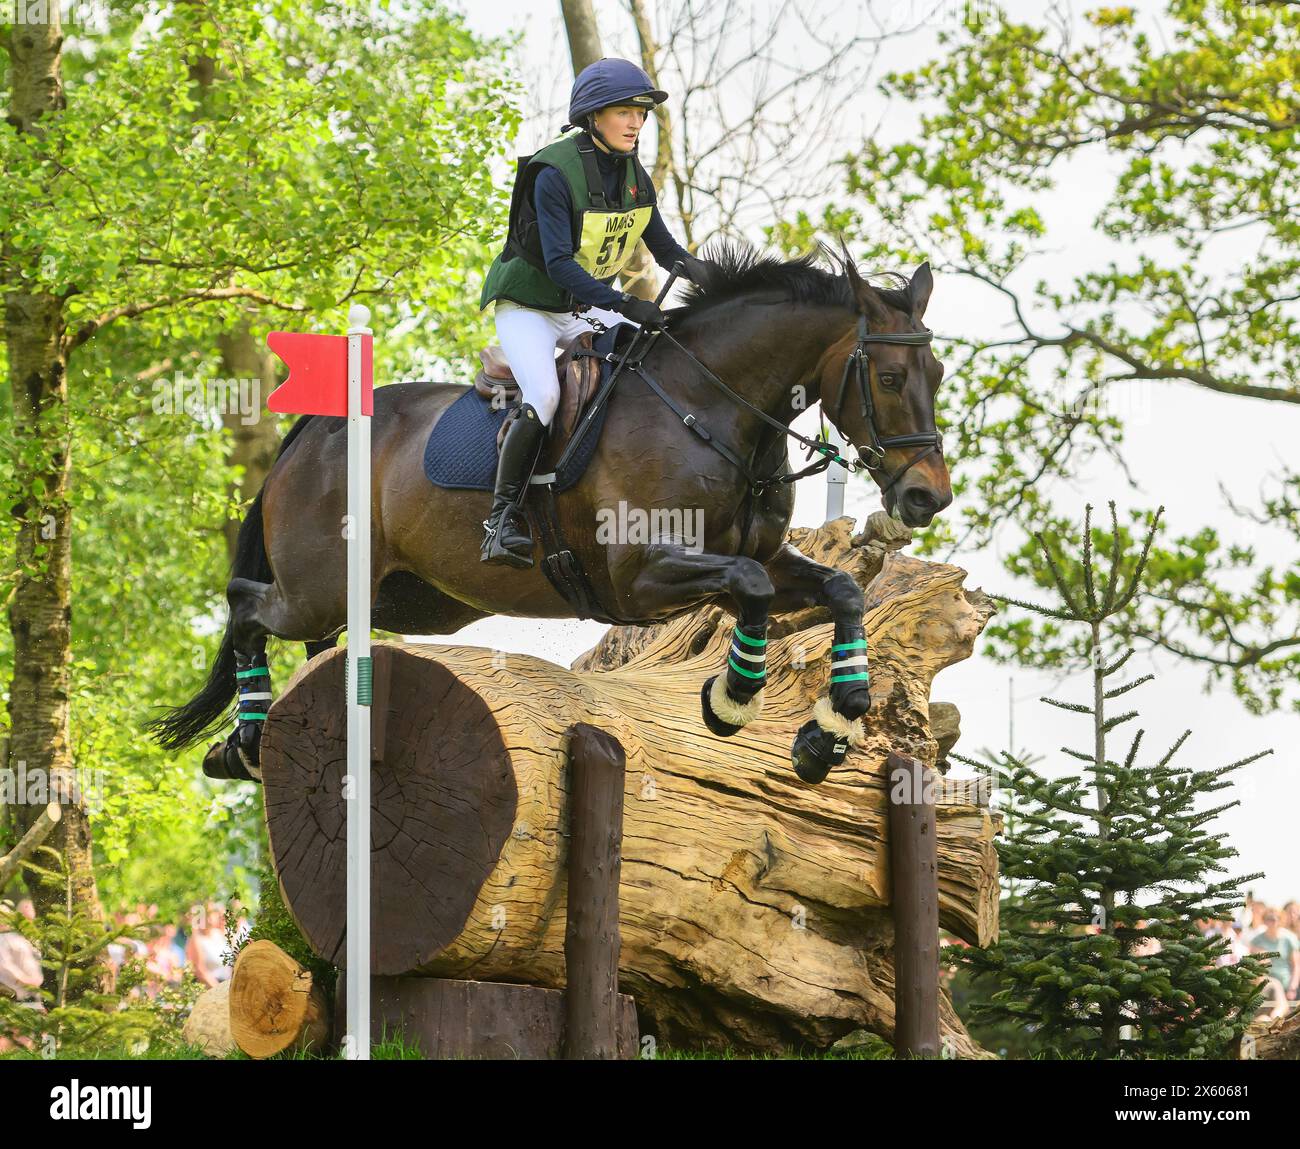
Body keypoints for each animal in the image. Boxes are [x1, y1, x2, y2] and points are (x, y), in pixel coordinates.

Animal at [144, 241, 956, 779]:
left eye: (938, 371)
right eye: (888, 376)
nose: (927, 495)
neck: (708, 407)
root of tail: (312, 431)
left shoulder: (754, 558)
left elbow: (842, 590)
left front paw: (828, 730)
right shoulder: (642, 577)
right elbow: (752, 592)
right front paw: (731, 699)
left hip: (404, 600)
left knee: (309, 636)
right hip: (317, 588)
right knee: (246, 604)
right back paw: (243, 741)